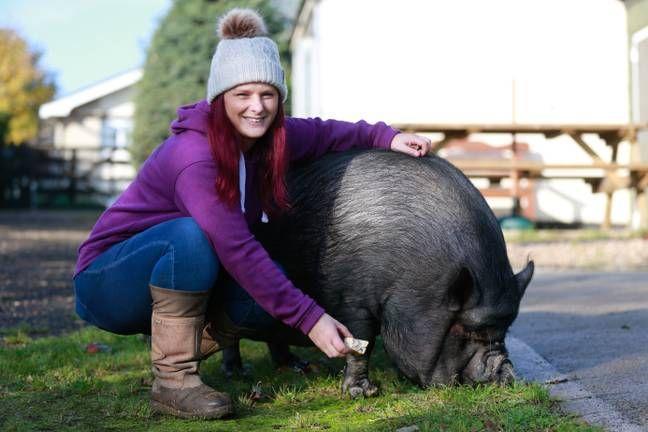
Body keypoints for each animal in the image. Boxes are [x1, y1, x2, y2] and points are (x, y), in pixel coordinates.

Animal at [205, 150, 536, 396]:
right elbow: (361, 343)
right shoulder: (353, 300)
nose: (504, 369)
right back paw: (238, 373)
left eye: (505, 330)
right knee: (229, 336)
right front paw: (364, 393)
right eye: (468, 330)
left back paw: (297, 366)